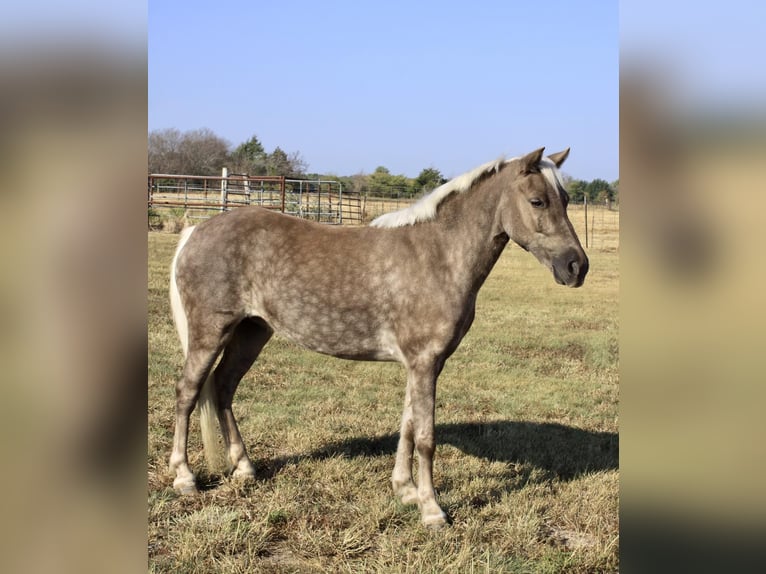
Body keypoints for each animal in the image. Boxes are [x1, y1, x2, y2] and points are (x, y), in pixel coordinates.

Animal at [168, 146, 588, 528]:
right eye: (537, 201)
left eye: (566, 200)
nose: (576, 266)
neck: (437, 255)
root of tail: (195, 232)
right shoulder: (424, 362)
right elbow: (426, 437)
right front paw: (432, 510)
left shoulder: (422, 363)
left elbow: (408, 424)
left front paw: (405, 490)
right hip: (210, 333)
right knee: (189, 392)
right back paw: (184, 477)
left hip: (251, 333)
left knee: (223, 387)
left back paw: (244, 467)